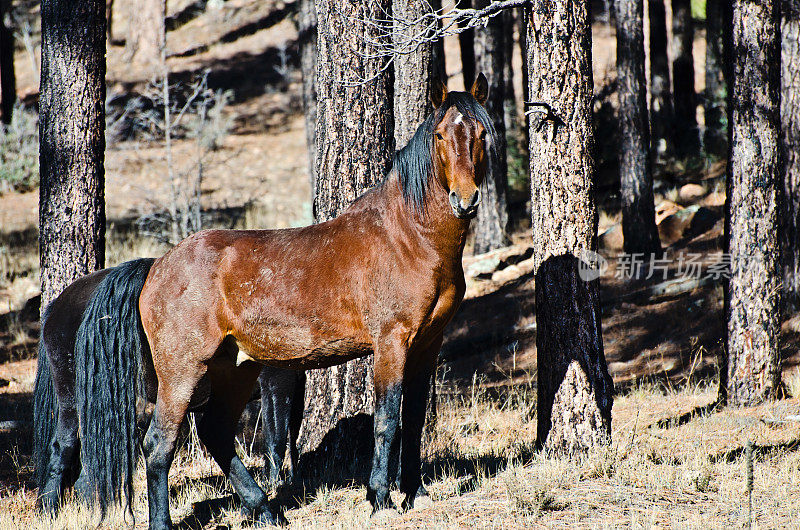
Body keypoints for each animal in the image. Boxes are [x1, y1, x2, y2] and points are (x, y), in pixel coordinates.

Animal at [39, 73, 500, 524]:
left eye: (480, 132)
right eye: (440, 135)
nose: (465, 199)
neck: (408, 237)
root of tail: (157, 268)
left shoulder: (427, 344)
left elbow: (415, 416)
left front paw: (416, 493)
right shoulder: (392, 342)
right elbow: (388, 420)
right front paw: (380, 499)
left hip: (236, 370)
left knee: (215, 434)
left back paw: (264, 508)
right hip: (181, 373)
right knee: (157, 445)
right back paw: (168, 520)